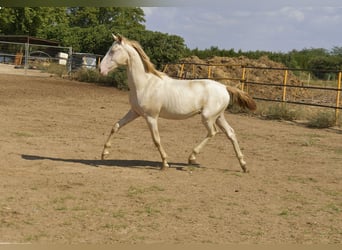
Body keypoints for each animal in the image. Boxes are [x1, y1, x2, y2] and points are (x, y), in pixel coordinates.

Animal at [100, 34, 255, 172]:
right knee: (231, 133)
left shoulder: (151, 117)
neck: (145, 83)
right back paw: (244, 166)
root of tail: (224, 87)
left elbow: (156, 139)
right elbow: (116, 126)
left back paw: (192, 158)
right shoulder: (135, 112)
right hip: (219, 116)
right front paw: (104, 154)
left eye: (113, 50)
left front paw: (165, 163)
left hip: (207, 117)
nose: (101, 69)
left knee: (212, 132)